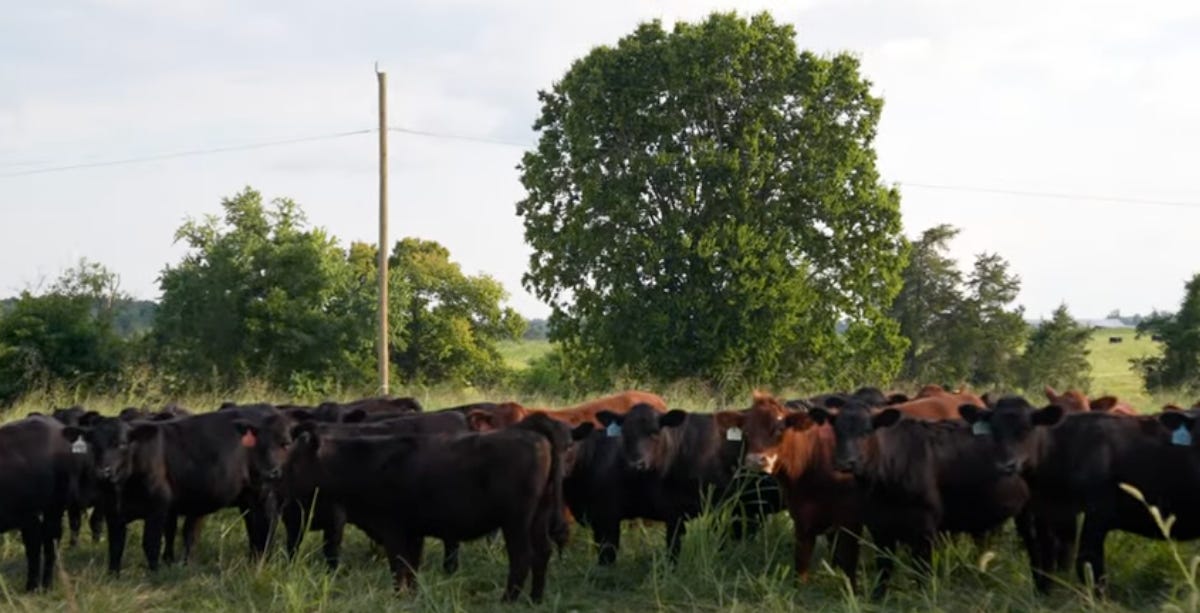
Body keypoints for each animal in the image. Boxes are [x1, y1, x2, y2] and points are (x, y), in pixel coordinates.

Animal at [0, 415, 80, 591]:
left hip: (54, 507)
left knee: (50, 542)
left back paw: (45, 585)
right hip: (29, 516)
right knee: (34, 544)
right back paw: (32, 586)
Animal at [62, 409, 292, 573]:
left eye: (122, 444)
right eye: (93, 444)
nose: (104, 471)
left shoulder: (158, 507)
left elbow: (151, 543)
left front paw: (154, 573)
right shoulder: (112, 511)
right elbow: (116, 546)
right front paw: (113, 574)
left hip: (265, 489)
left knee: (268, 523)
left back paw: (264, 559)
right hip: (246, 496)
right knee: (253, 525)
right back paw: (254, 558)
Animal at [809, 397, 1029, 599]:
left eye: (866, 431)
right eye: (837, 431)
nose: (844, 462)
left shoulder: (925, 527)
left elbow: (922, 567)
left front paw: (924, 595)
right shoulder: (879, 524)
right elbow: (884, 565)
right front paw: (877, 596)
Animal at [963, 396, 1200, 595]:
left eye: (1027, 428)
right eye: (993, 430)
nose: (1006, 465)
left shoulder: (1097, 515)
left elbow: (1089, 566)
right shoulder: (1047, 515)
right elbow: (1045, 562)